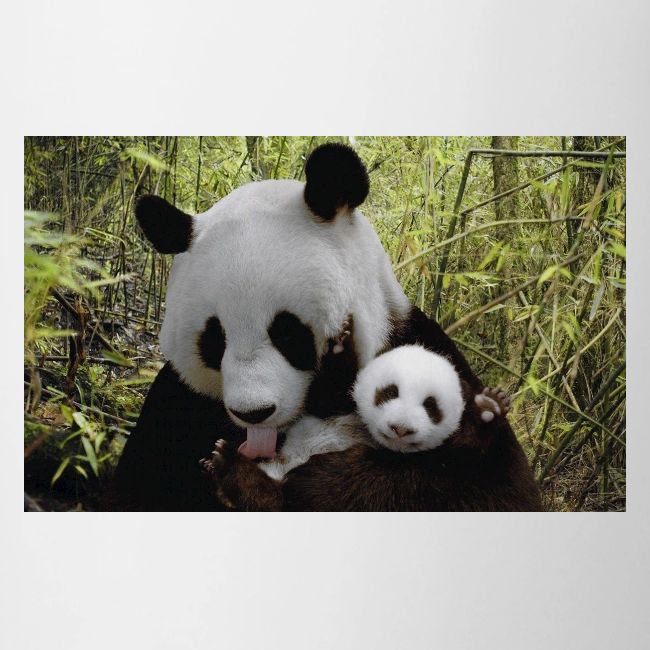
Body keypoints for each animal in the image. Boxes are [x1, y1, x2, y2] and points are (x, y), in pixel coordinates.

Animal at [109, 143, 529, 511]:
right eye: (215, 339)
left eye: (288, 333)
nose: (254, 413)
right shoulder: (178, 403)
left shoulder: (422, 348)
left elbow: (488, 486)